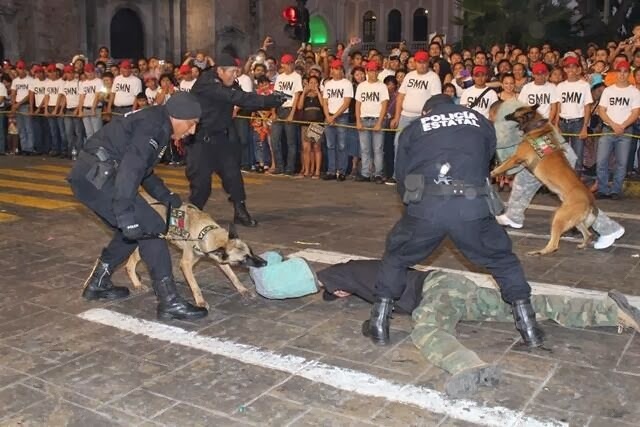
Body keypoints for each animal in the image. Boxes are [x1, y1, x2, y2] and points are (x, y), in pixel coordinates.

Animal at [126, 194, 266, 308]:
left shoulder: (221, 260)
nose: (265, 263)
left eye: (251, 251)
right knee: (129, 264)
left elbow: (233, 276)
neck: (205, 233)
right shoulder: (186, 264)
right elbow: (195, 286)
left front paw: (243, 290)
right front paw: (200, 302)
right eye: (244, 259)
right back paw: (137, 284)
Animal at [490, 105, 600, 256]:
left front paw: (493, 172)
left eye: (516, 111)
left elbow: (503, 165)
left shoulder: (516, 157)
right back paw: (582, 244)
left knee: (554, 245)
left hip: (559, 217)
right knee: (588, 234)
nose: (506, 115)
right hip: (574, 220)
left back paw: (538, 252)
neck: (536, 126)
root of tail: (590, 200)